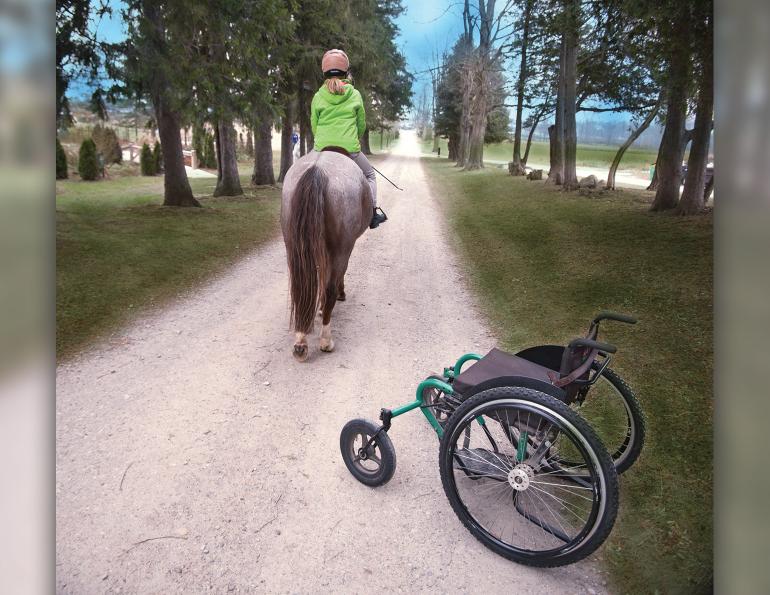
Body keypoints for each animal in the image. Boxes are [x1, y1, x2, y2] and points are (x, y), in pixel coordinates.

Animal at [281, 150, 372, 361]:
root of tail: (317, 169)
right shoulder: (342, 249)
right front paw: (337, 296)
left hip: (294, 246)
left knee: (301, 287)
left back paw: (301, 342)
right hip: (341, 247)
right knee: (330, 287)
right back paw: (326, 340)